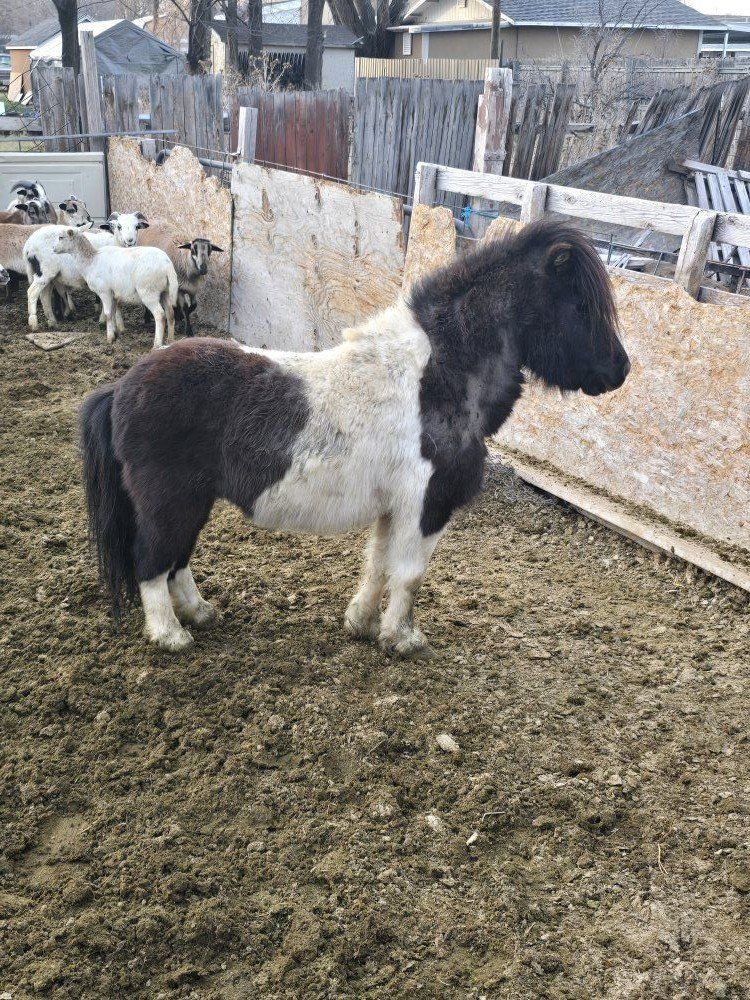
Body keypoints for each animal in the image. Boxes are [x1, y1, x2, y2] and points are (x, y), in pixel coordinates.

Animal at [79, 221, 630, 655]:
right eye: (581, 304)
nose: (620, 371)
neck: (436, 374)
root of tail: (121, 388)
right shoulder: (425, 506)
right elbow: (408, 574)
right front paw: (402, 639)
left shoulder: (395, 507)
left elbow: (378, 566)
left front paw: (361, 623)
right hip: (172, 502)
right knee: (154, 561)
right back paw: (170, 635)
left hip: (191, 503)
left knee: (177, 562)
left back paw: (200, 613)